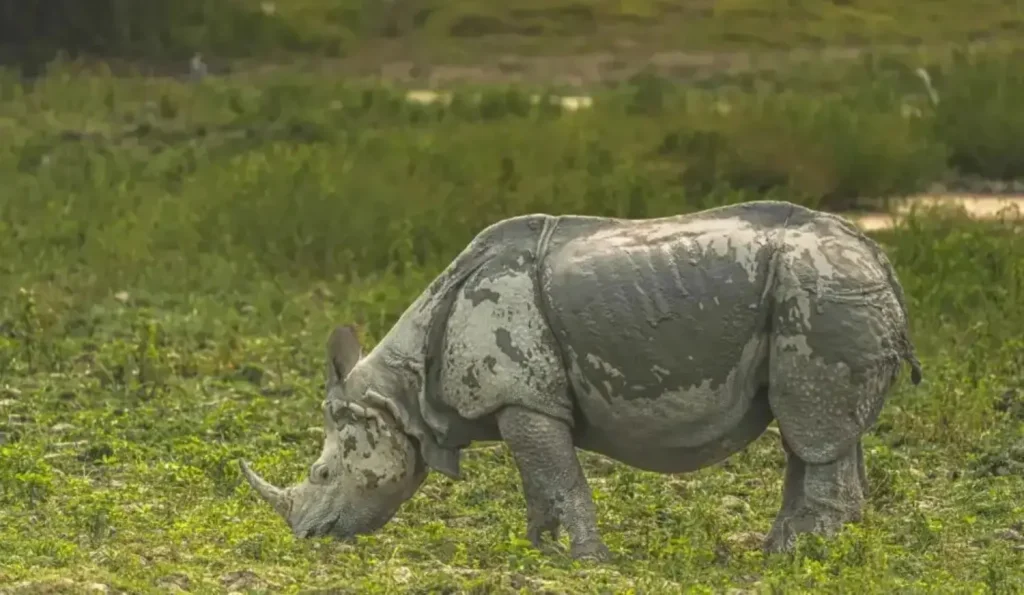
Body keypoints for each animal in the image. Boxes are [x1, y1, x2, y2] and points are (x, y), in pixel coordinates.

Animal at [239, 200, 923, 560]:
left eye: (322, 472)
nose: (308, 537)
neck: (398, 394)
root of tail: (881, 260)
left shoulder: (525, 399)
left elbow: (559, 476)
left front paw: (585, 561)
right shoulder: (521, 401)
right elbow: (539, 482)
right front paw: (539, 549)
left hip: (823, 289)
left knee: (811, 427)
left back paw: (799, 560)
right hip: (824, 291)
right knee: (817, 432)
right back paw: (793, 550)